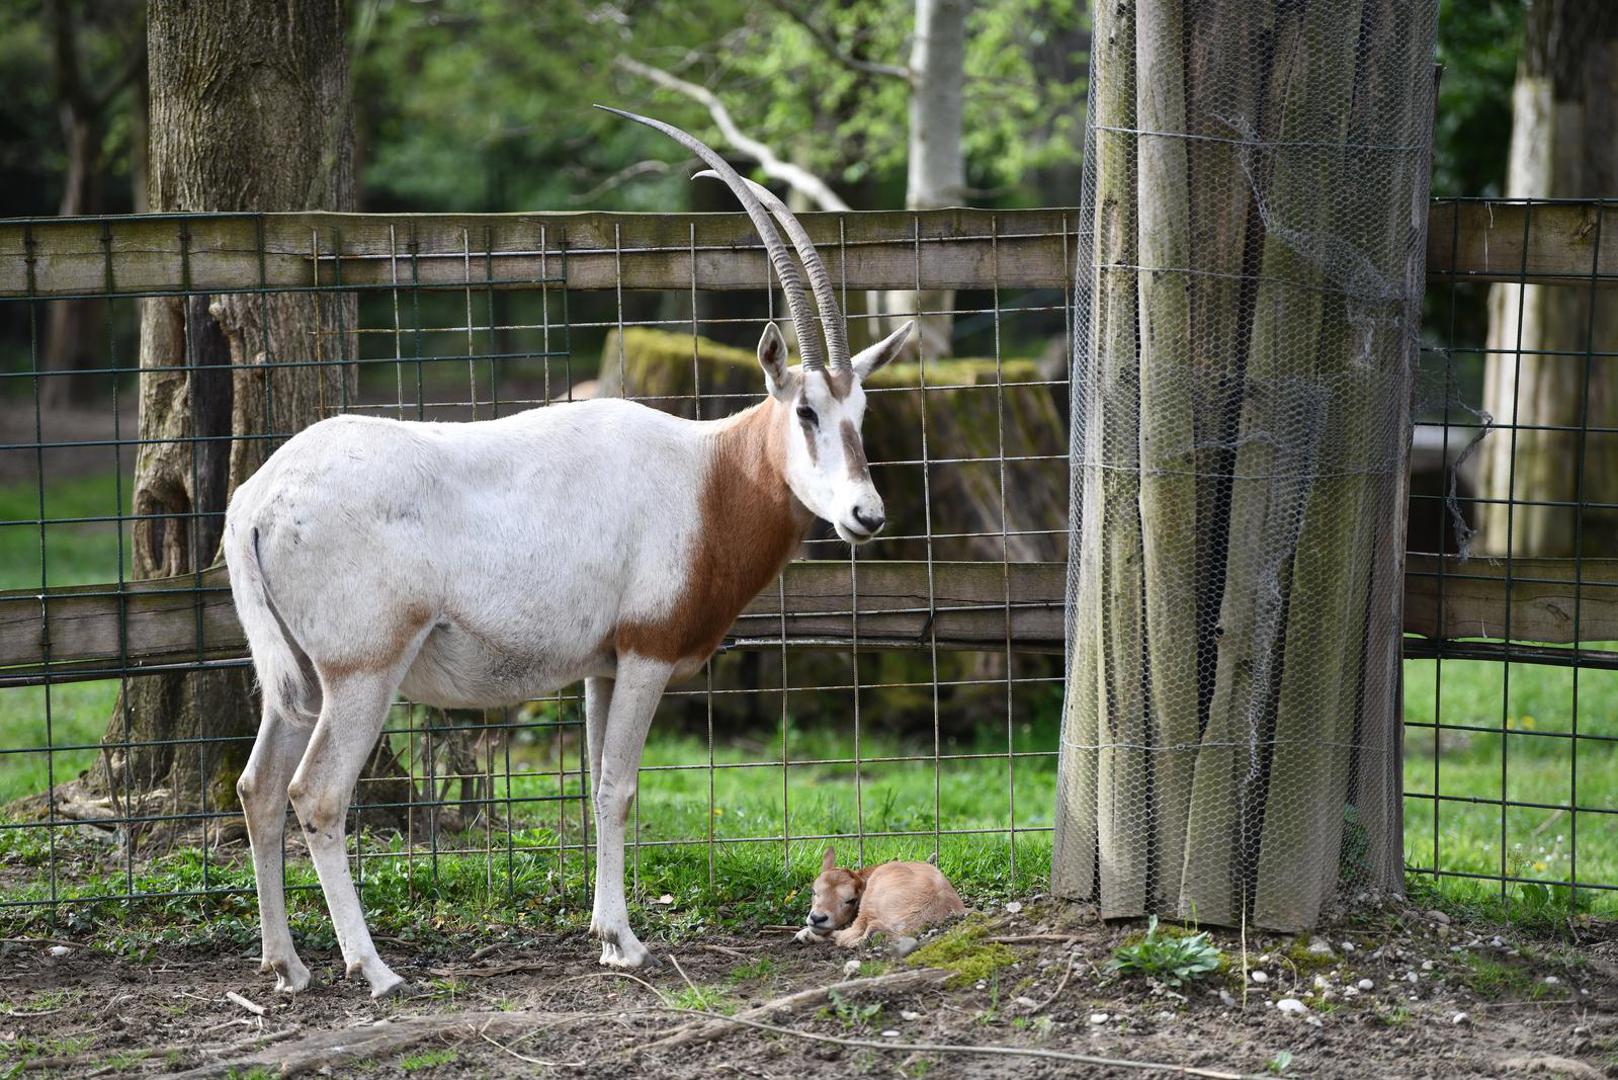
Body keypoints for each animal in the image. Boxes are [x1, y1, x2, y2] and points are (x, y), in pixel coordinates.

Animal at [221, 107, 919, 997]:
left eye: (859, 410)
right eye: (804, 412)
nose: (867, 515)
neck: (707, 473)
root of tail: (258, 499)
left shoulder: (602, 665)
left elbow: (592, 786)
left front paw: (601, 927)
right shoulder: (648, 653)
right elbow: (619, 787)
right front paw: (624, 940)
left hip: (301, 681)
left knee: (258, 788)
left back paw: (286, 963)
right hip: (363, 672)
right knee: (314, 795)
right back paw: (372, 969)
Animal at [792, 841, 957, 945]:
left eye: (851, 900)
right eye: (814, 891)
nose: (817, 918)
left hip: (869, 906)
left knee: (850, 935)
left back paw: (806, 935)